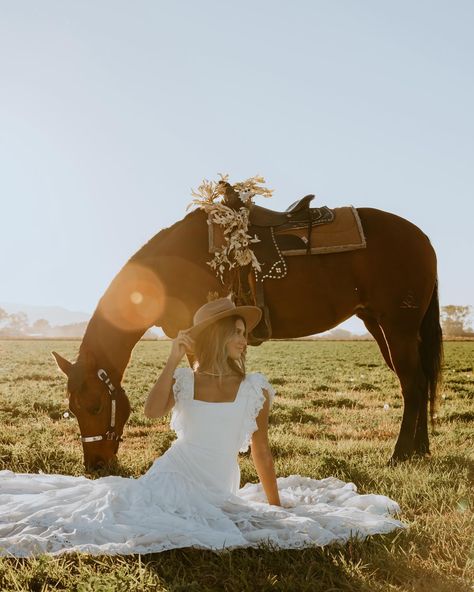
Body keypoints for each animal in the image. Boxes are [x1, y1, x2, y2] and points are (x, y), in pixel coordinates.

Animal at [53, 201, 442, 470]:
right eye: (71, 410)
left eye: (96, 405)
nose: (95, 466)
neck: (170, 268)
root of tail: (423, 238)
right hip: (380, 325)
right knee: (422, 380)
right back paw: (421, 449)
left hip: (398, 327)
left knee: (412, 384)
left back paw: (400, 454)